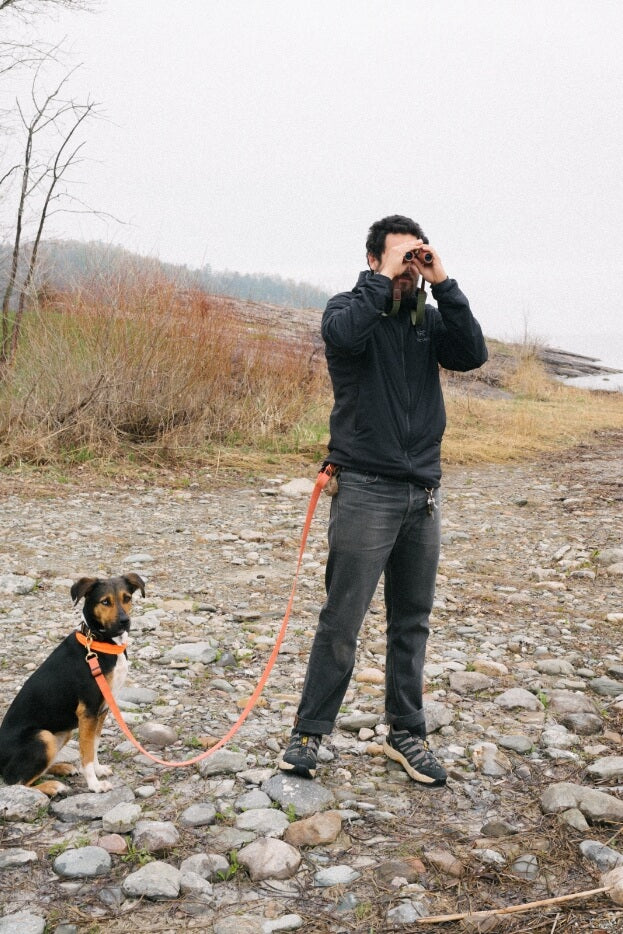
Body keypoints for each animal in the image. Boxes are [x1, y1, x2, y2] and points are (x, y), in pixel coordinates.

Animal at [0, 576, 145, 800]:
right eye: (105, 601)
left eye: (127, 598)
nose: (124, 621)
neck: (100, 644)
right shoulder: (87, 712)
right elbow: (86, 754)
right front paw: (95, 785)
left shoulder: (101, 710)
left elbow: (93, 746)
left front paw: (99, 770)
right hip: (43, 737)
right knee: (16, 782)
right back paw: (53, 786)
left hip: (60, 734)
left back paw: (62, 768)